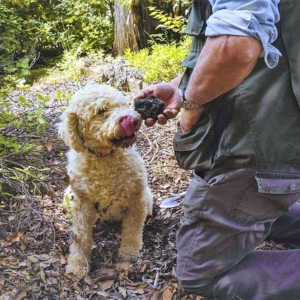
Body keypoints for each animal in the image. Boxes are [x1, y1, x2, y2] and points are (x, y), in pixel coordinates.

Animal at [57, 83, 154, 278]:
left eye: (124, 104)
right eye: (101, 111)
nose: (133, 119)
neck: (105, 158)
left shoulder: (136, 198)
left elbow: (132, 231)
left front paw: (128, 255)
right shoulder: (82, 203)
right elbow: (80, 236)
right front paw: (78, 264)